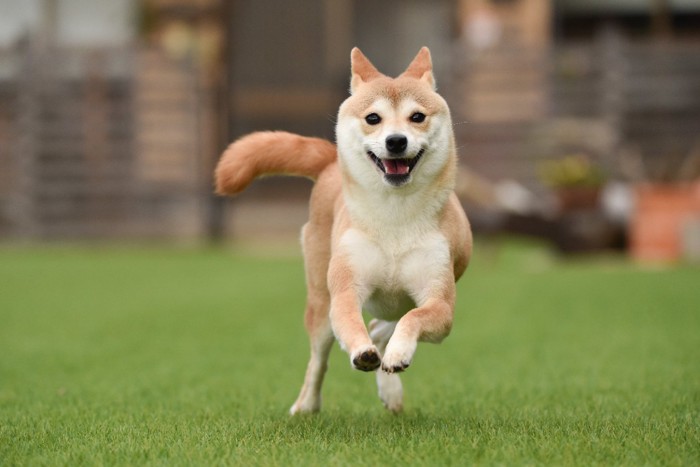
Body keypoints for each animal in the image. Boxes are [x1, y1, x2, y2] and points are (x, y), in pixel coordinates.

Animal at [216, 46, 474, 414]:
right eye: (373, 119)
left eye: (417, 117)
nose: (396, 141)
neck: (394, 215)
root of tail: (328, 165)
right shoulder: (345, 291)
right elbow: (351, 323)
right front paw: (363, 353)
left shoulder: (440, 303)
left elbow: (414, 320)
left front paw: (397, 353)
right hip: (320, 301)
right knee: (320, 357)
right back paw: (307, 404)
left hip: (398, 301)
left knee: (385, 325)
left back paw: (389, 383)